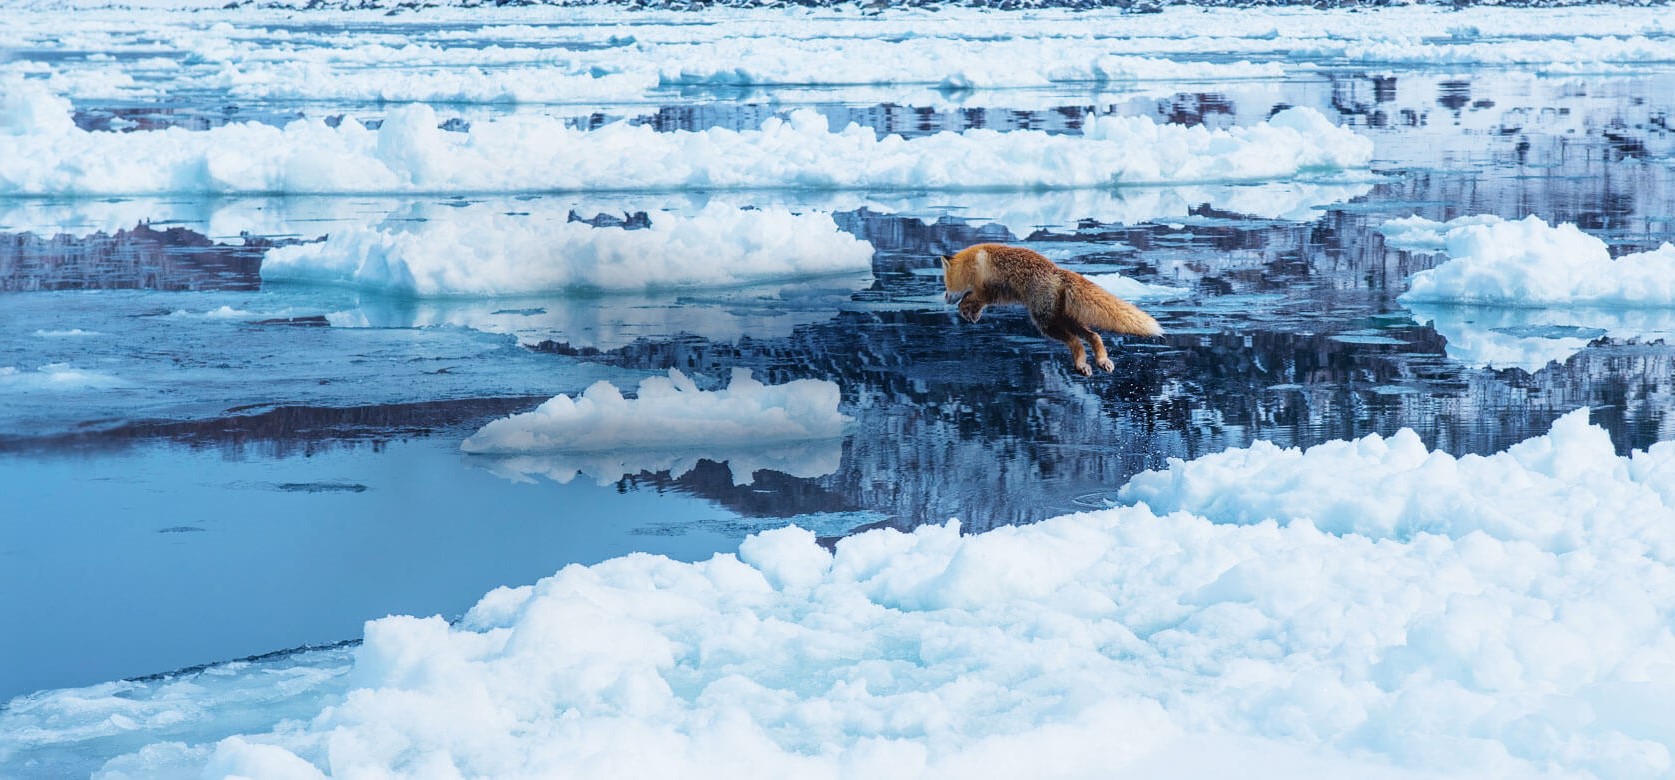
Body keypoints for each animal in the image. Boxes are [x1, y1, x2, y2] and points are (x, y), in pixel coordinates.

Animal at [944, 244, 1165, 378]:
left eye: (946, 284)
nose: (945, 297)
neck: (973, 263)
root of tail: (1058, 272)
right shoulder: (990, 294)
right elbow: (971, 302)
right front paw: (971, 315)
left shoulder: (986, 290)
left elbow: (968, 298)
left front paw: (965, 310)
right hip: (1065, 318)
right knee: (1094, 335)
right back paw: (1101, 361)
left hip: (1045, 322)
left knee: (1076, 341)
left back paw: (1081, 365)